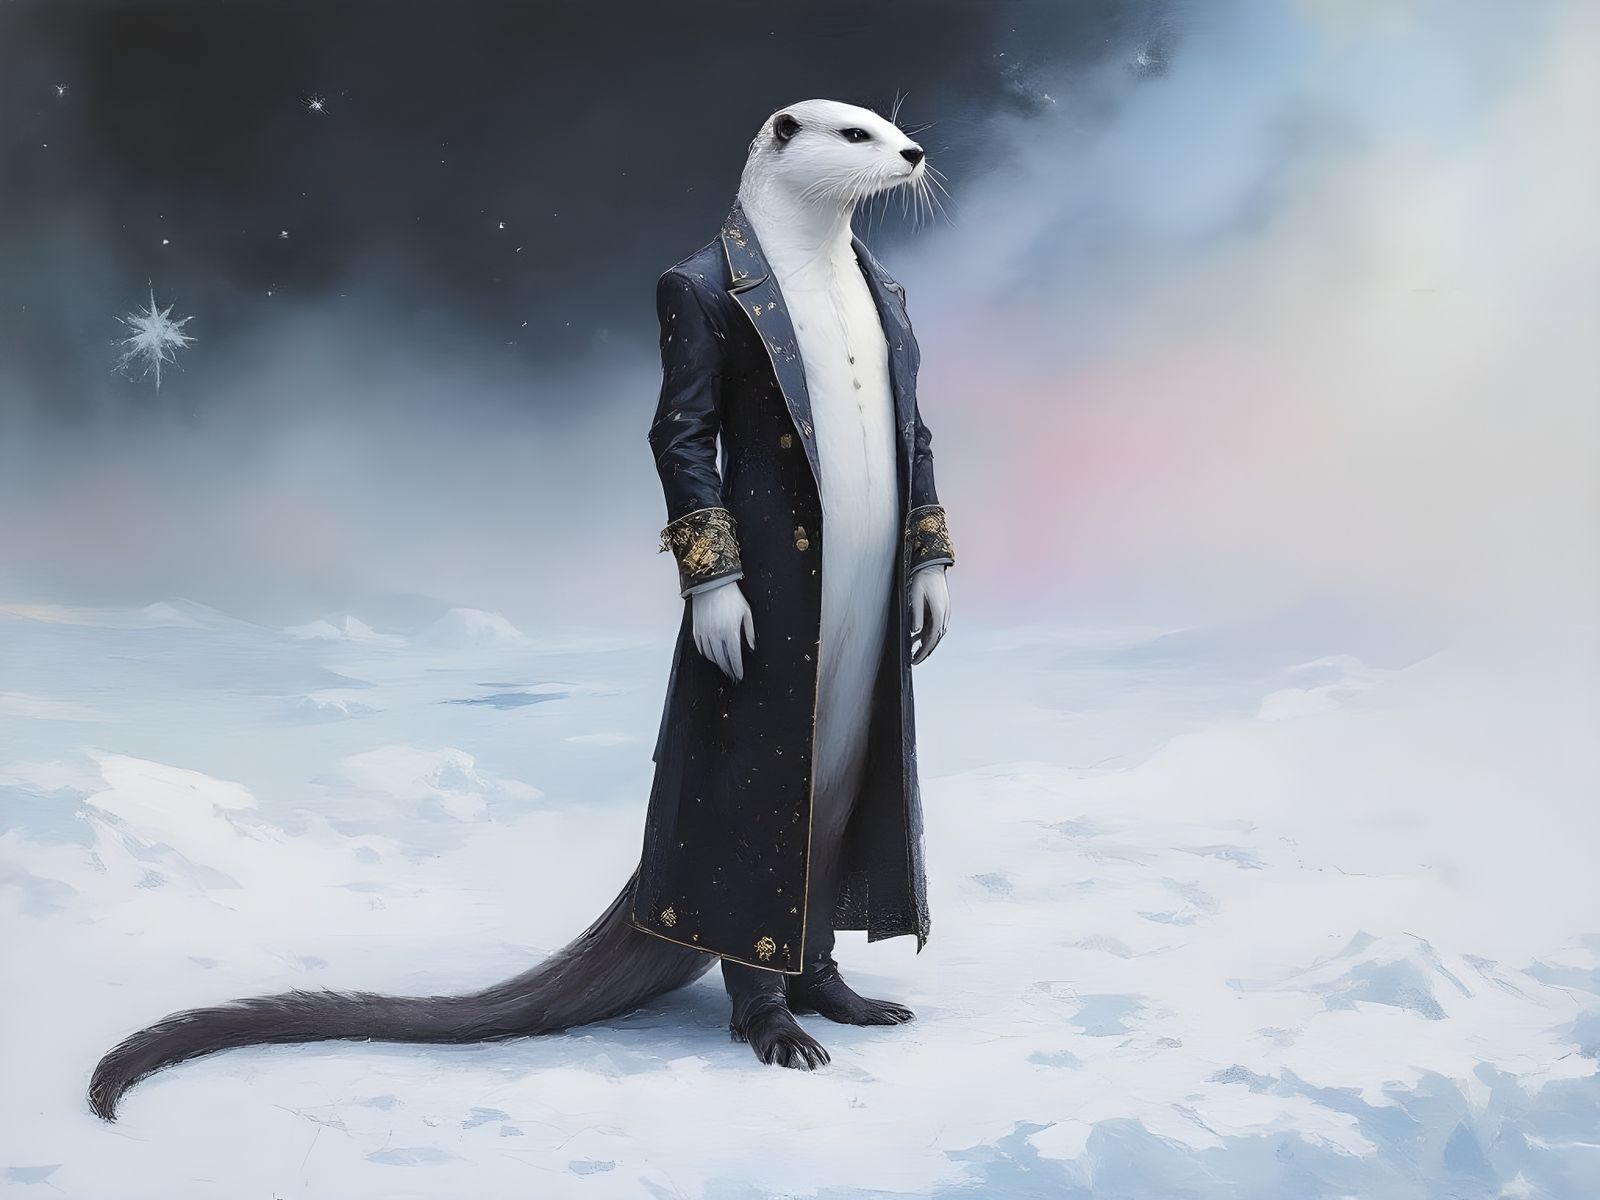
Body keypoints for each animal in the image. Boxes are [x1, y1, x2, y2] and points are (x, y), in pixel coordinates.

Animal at [88, 98, 951, 1120]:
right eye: (854, 134)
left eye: (884, 124)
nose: (914, 153)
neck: (812, 270)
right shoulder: (686, 315)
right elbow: (682, 434)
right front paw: (722, 616)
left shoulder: (905, 357)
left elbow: (920, 436)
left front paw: (934, 592)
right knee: (751, 921)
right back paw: (779, 1027)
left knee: (814, 895)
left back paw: (842, 998)